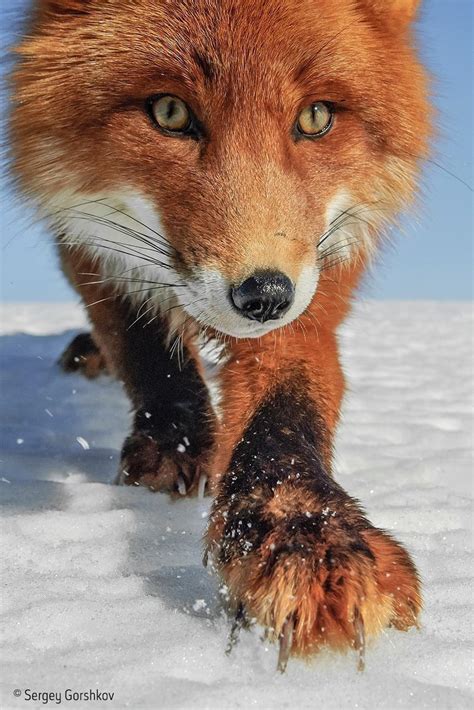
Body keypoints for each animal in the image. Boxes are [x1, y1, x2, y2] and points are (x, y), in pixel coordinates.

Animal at [8, 0, 430, 672]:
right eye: (169, 111)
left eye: (316, 117)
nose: (263, 295)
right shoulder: (85, 240)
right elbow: (144, 344)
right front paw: (174, 441)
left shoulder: (316, 275)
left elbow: (286, 409)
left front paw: (303, 528)